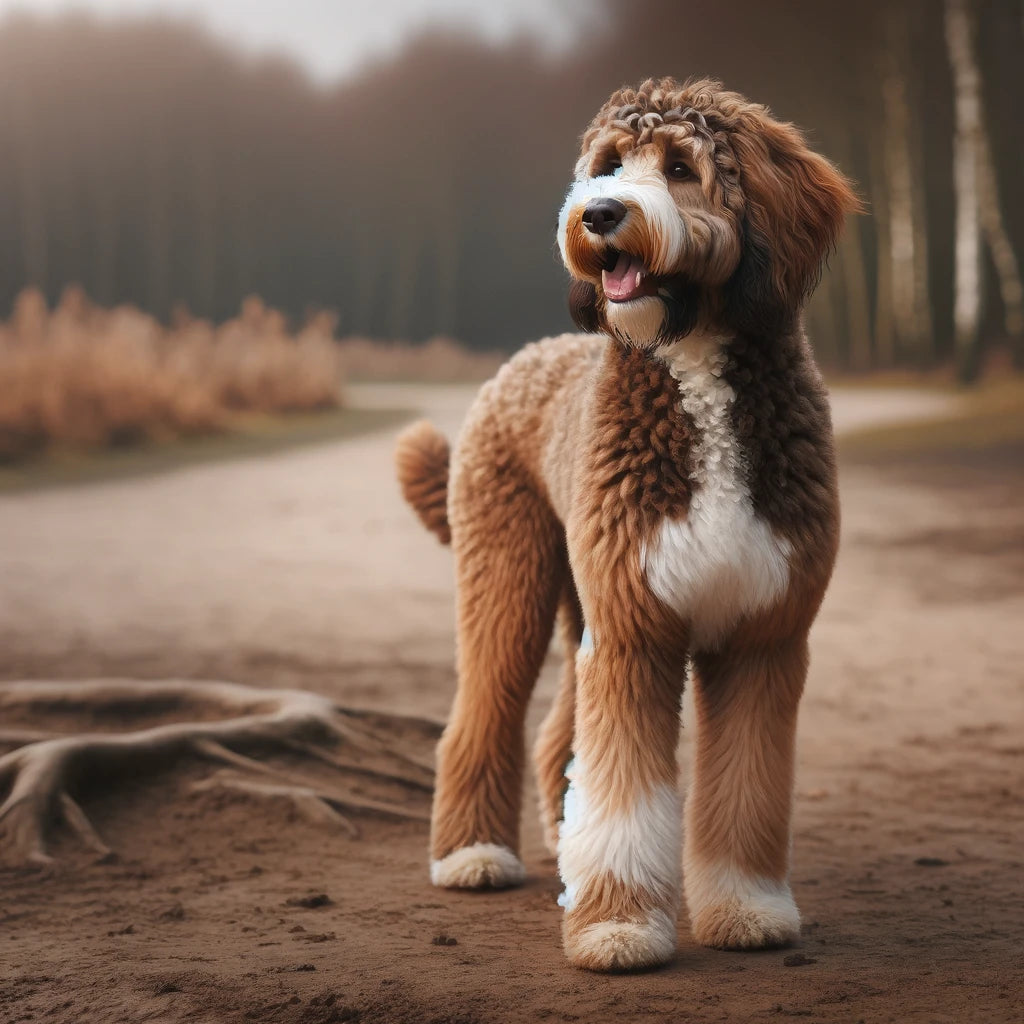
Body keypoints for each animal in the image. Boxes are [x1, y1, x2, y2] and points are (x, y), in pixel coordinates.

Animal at [395, 75, 860, 970]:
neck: (694, 364)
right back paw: (473, 855)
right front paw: (615, 926)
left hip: (584, 598)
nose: (599, 213)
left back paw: (558, 839)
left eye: (681, 166)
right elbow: (623, 793)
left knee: (559, 736)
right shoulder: (636, 630)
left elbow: (746, 786)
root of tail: (522, 361)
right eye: (609, 163)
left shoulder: (761, 633)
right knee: (483, 712)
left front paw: (746, 908)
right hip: (512, 574)